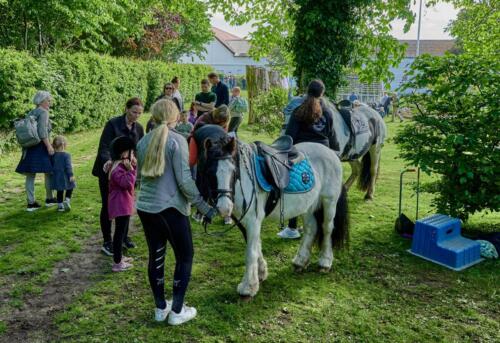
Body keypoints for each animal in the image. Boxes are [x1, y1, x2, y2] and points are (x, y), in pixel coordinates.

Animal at [202, 137, 348, 298]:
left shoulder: (253, 219)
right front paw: (261, 273)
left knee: (327, 229)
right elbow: (256, 245)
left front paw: (248, 287)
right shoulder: (245, 221)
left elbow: (250, 252)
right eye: (209, 172)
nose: (224, 208)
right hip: (309, 205)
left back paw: (325, 262)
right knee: (311, 228)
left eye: (233, 171)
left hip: (329, 201)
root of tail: (332, 153)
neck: (245, 180)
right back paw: (300, 261)